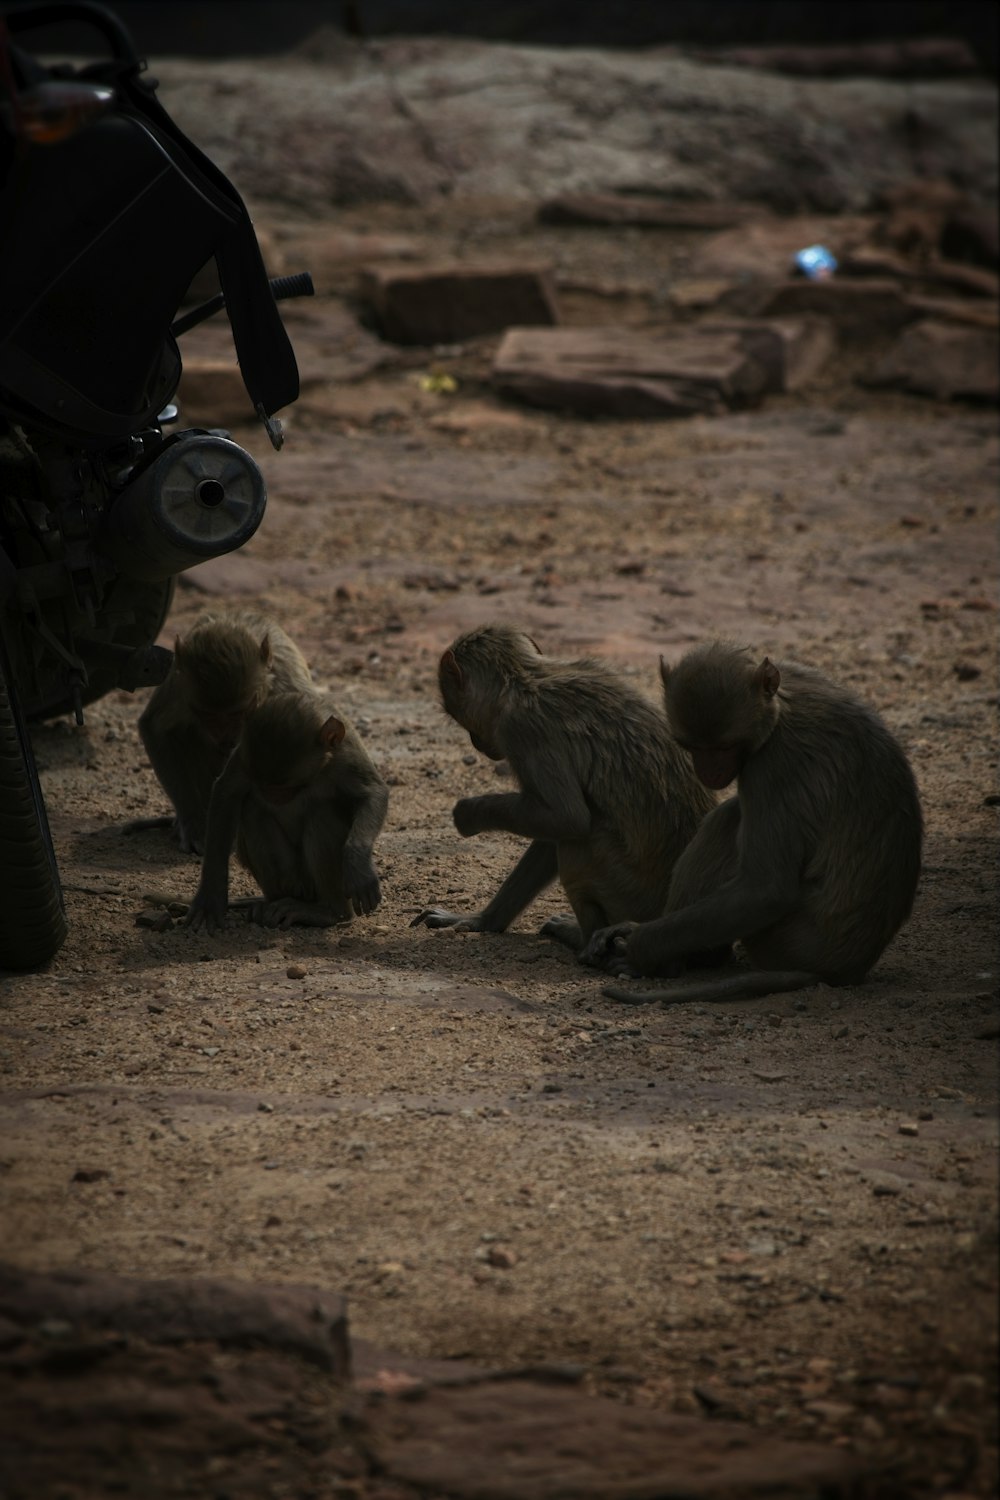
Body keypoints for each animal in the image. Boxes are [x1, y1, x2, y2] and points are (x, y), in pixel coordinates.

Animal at [132, 606, 313, 852]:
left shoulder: (287, 683)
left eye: (238, 713)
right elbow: (154, 728)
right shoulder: (179, 683)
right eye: (208, 715)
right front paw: (193, 822)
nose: (224, 735)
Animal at [185, 687, 389, 924]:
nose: (270, 795)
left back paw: (330, 912)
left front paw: (357, 864)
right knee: (253, 811)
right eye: (263, 785)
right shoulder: (243, 753)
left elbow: (372, 794)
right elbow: (226, 793)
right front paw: (211, 898)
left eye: (283, 788)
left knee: (321, 815)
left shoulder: (346, 756)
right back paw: (277, 903)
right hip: (293, 880)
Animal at [407, 624, 719, 948]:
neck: (524, 679)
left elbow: (567, 818)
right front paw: (485, 920)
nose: (475, 742)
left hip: (632, 896)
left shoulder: (522, 728)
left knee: (581, 838)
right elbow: (551, 831)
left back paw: (583, 938)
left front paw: (470, 813)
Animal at [581, 639, 929, 1002]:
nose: (709, 773)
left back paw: (670, 964)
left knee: (727, 821)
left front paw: (637, 946)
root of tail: (843, 970)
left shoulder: (773, 766)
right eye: (692, 746)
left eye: (724, 747)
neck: (778, 710)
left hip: (787, 942)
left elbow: (766, 890)